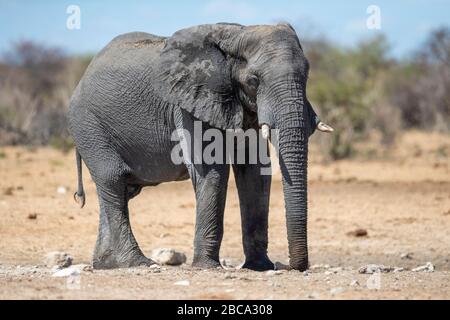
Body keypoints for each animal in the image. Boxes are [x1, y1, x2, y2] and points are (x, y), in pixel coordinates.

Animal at [68, 23, 332, 272]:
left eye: (307, 76)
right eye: (253, 81)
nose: (288, 265)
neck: (237, 33)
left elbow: (255, 173)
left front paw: (260, 267)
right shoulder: (190, 104)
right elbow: (212, 170)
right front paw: (207, 266)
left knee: (121, 191)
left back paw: (107, 264)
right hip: (88, 126)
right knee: (113, 180)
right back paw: (137, 263)